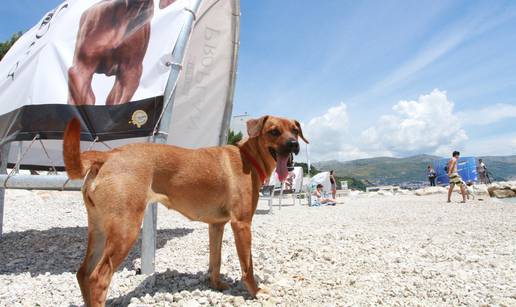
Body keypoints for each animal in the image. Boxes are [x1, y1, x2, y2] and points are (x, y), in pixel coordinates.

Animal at [63, 116, 306, 307]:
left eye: (294, 130)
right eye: (274, 131)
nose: (294, 144)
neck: (248, 157)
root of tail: (109, 155)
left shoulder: (216, 225)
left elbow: (215, 261)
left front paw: (217, 285)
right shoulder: (242, 225)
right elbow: (248, 266)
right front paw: (255, 292)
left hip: (99, 230)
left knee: (83, 273)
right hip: (125, 230)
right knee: (98, 279)